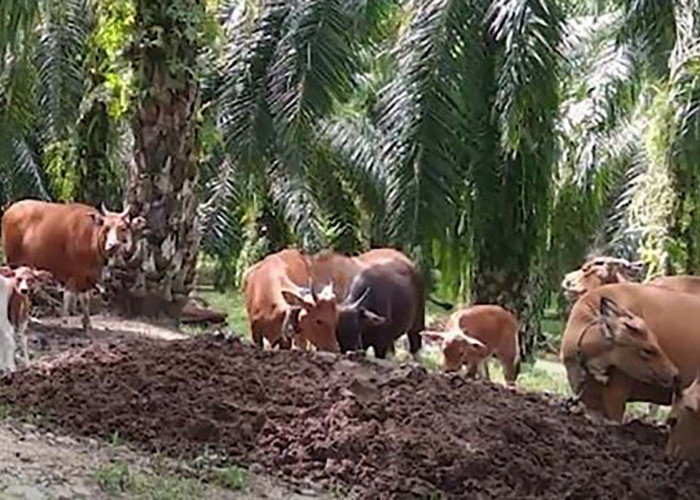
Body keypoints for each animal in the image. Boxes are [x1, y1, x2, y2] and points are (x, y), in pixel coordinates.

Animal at [1, 199, 144, 332]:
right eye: (106, 227)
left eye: (123, 228)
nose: (112, 245)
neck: (91, 237)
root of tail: (9, 210)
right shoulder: (77, 273)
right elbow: (77, 297)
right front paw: (74, 322)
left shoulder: (88, 274)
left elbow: (83, 297)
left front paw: (86, 323)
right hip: (13, 260)